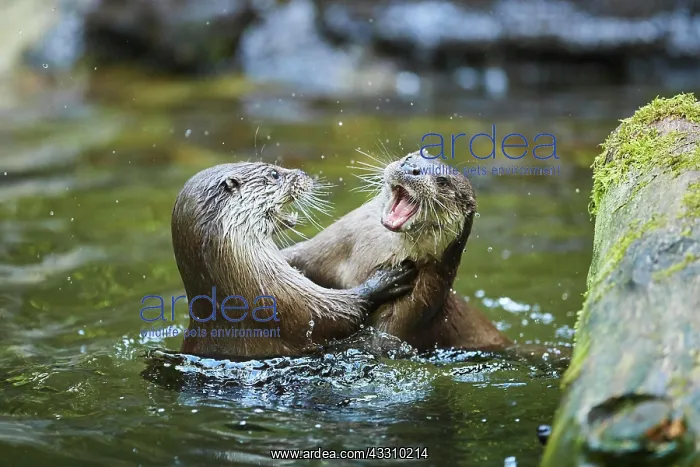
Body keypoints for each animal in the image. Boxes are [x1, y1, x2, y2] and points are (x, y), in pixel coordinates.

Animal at [282, 151, 511, 352]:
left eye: (442, 181)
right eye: (409, 158)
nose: (411, 168)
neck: (361, 266)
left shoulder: (410, 309)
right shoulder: (323, 249)